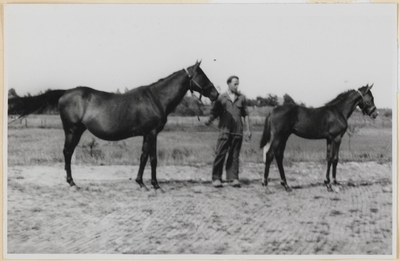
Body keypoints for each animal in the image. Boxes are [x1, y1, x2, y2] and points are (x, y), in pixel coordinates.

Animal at [7, 60, 219, 189]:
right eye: (202, 75)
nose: (216, 94)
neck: (156, 98)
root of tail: (65, 92)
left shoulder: (147, 134)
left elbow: (145, 157)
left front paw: (142, 182)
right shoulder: (152, 133)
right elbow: (152, 158)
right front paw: (153, 184)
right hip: (72, 130)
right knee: (67, 152)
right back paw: (71, 182)